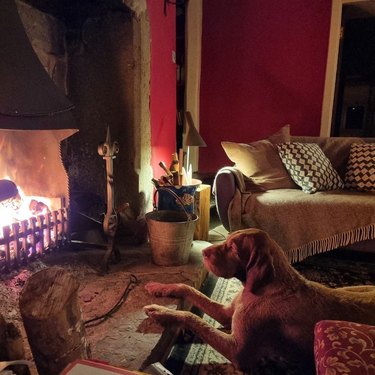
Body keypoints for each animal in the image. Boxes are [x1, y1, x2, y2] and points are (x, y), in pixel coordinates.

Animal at [144, 229, 375, 374]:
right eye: (227, 239)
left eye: (233, 249)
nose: (203, 251)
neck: (261, 288)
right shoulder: (226, 314)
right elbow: (189, 289)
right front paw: (159, 287)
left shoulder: (237, 350)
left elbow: (192, 317)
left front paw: (162, 312)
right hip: (353, 288)